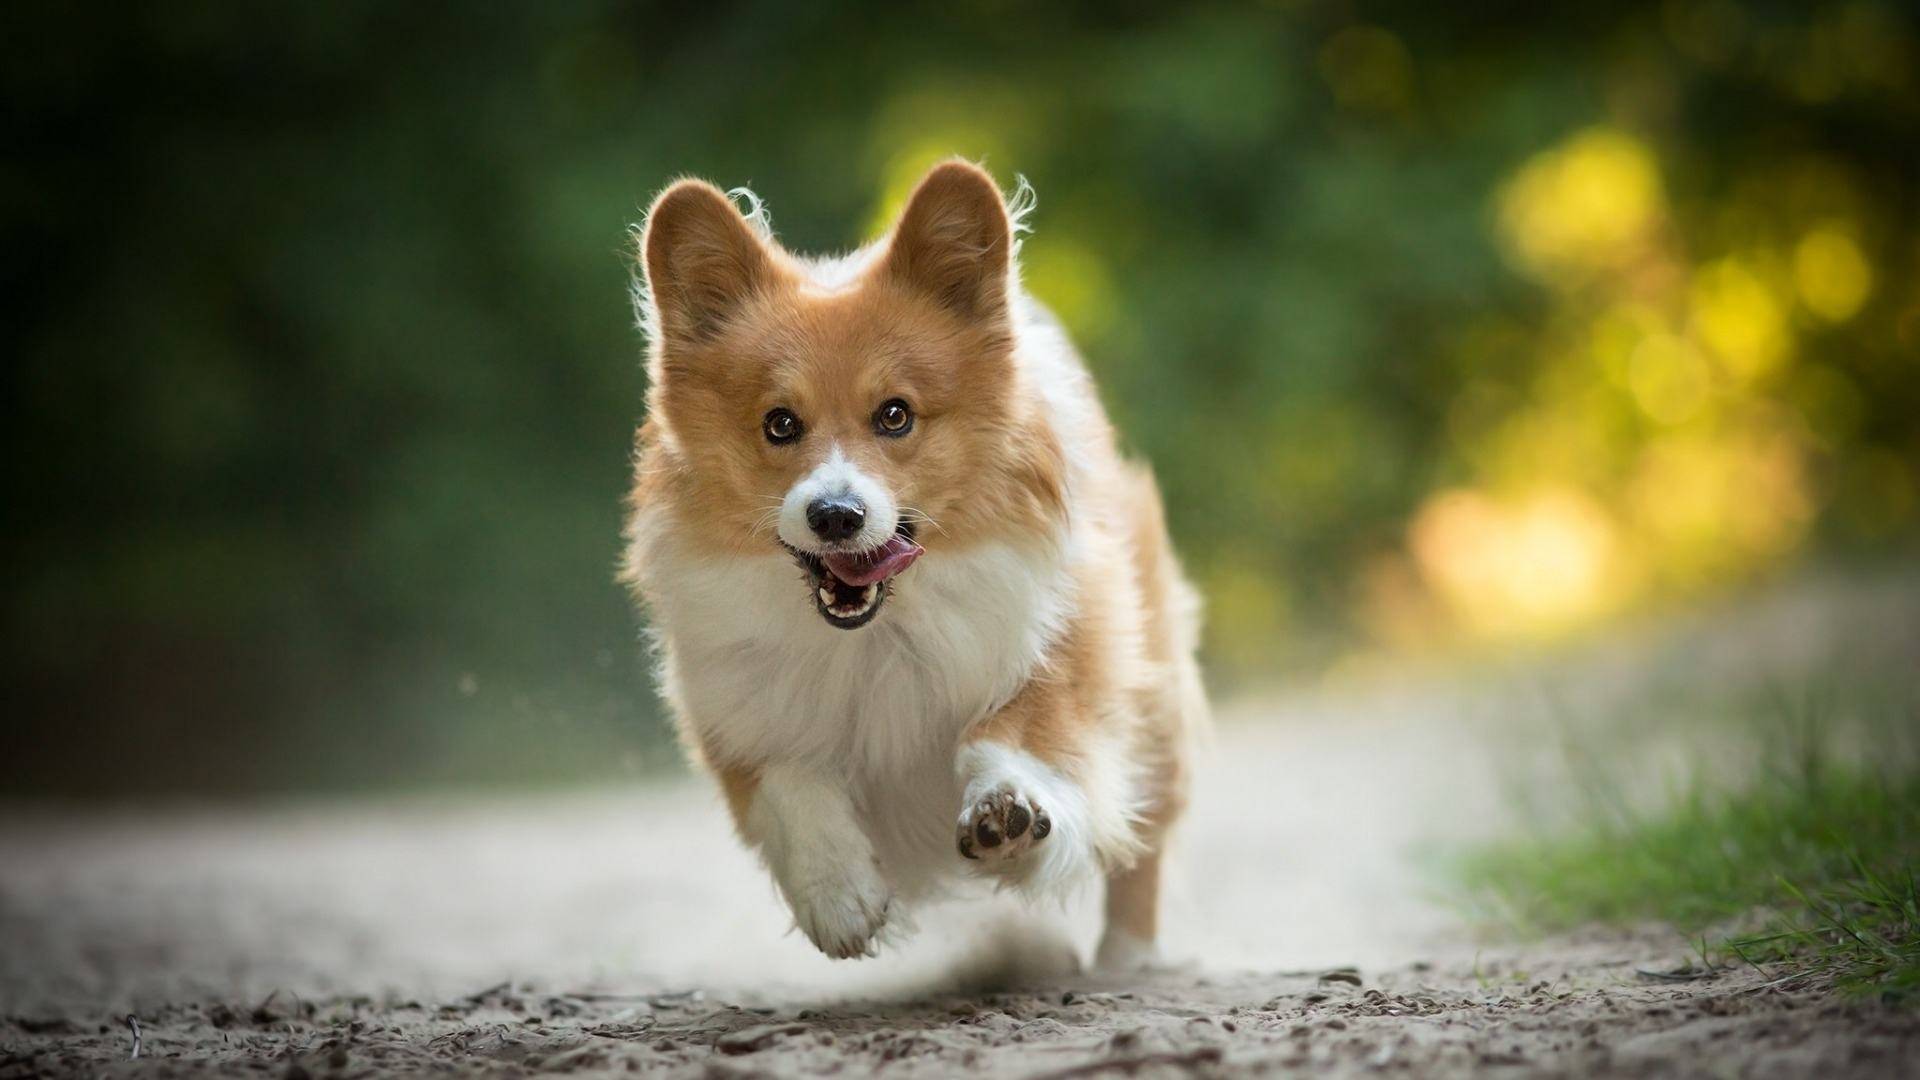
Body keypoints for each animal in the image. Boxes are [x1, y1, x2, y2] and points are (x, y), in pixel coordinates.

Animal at [622, 159, 1205, 968]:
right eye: (780, 424)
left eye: (895, 415)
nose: (836, 515)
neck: (874, 635)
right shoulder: (734, 706)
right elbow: (789, 779)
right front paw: (839, 895)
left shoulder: (1066, 639)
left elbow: (1018, 727)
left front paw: (1006, 810)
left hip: (1155, 696)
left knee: (1143, 835)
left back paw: (1128, 960)